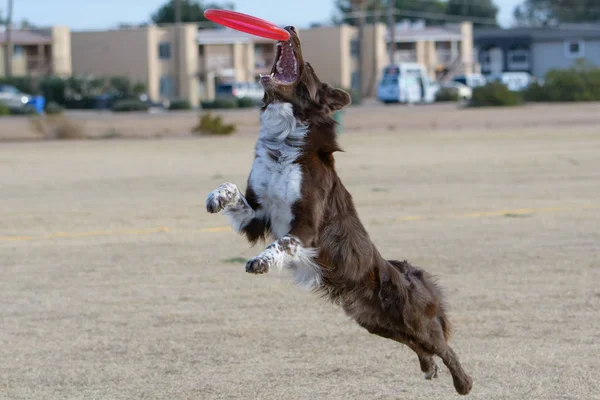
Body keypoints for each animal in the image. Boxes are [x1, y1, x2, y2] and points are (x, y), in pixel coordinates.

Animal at [207, 26, 474, 396]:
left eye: (308, 67)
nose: (291, 28)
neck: (284, 142)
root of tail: (404, 270)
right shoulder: (258, 216)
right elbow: (231, 189)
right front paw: (215, 197)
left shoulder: (305, 225)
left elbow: (282, 243)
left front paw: (260, 261)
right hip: (375, 321)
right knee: (417, 344)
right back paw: (428, 368)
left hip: (409, 315)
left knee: (441, 345)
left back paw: (463, 383)